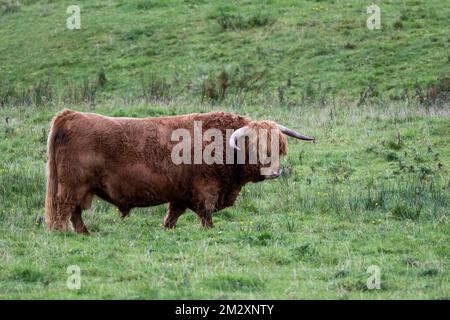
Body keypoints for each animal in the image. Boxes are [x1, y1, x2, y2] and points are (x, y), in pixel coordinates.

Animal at [44, 109, 312, 232]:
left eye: (278, 147)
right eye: (256, 146)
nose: (274, 172)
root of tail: (71, 115)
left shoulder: (181, 195)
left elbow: (172, 216)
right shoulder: (206, 191)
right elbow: (206, 216)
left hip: (81, 188)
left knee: (76, 212)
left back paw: (84, 233)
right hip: (72, 185)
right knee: (64, 209)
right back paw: (63, 233)